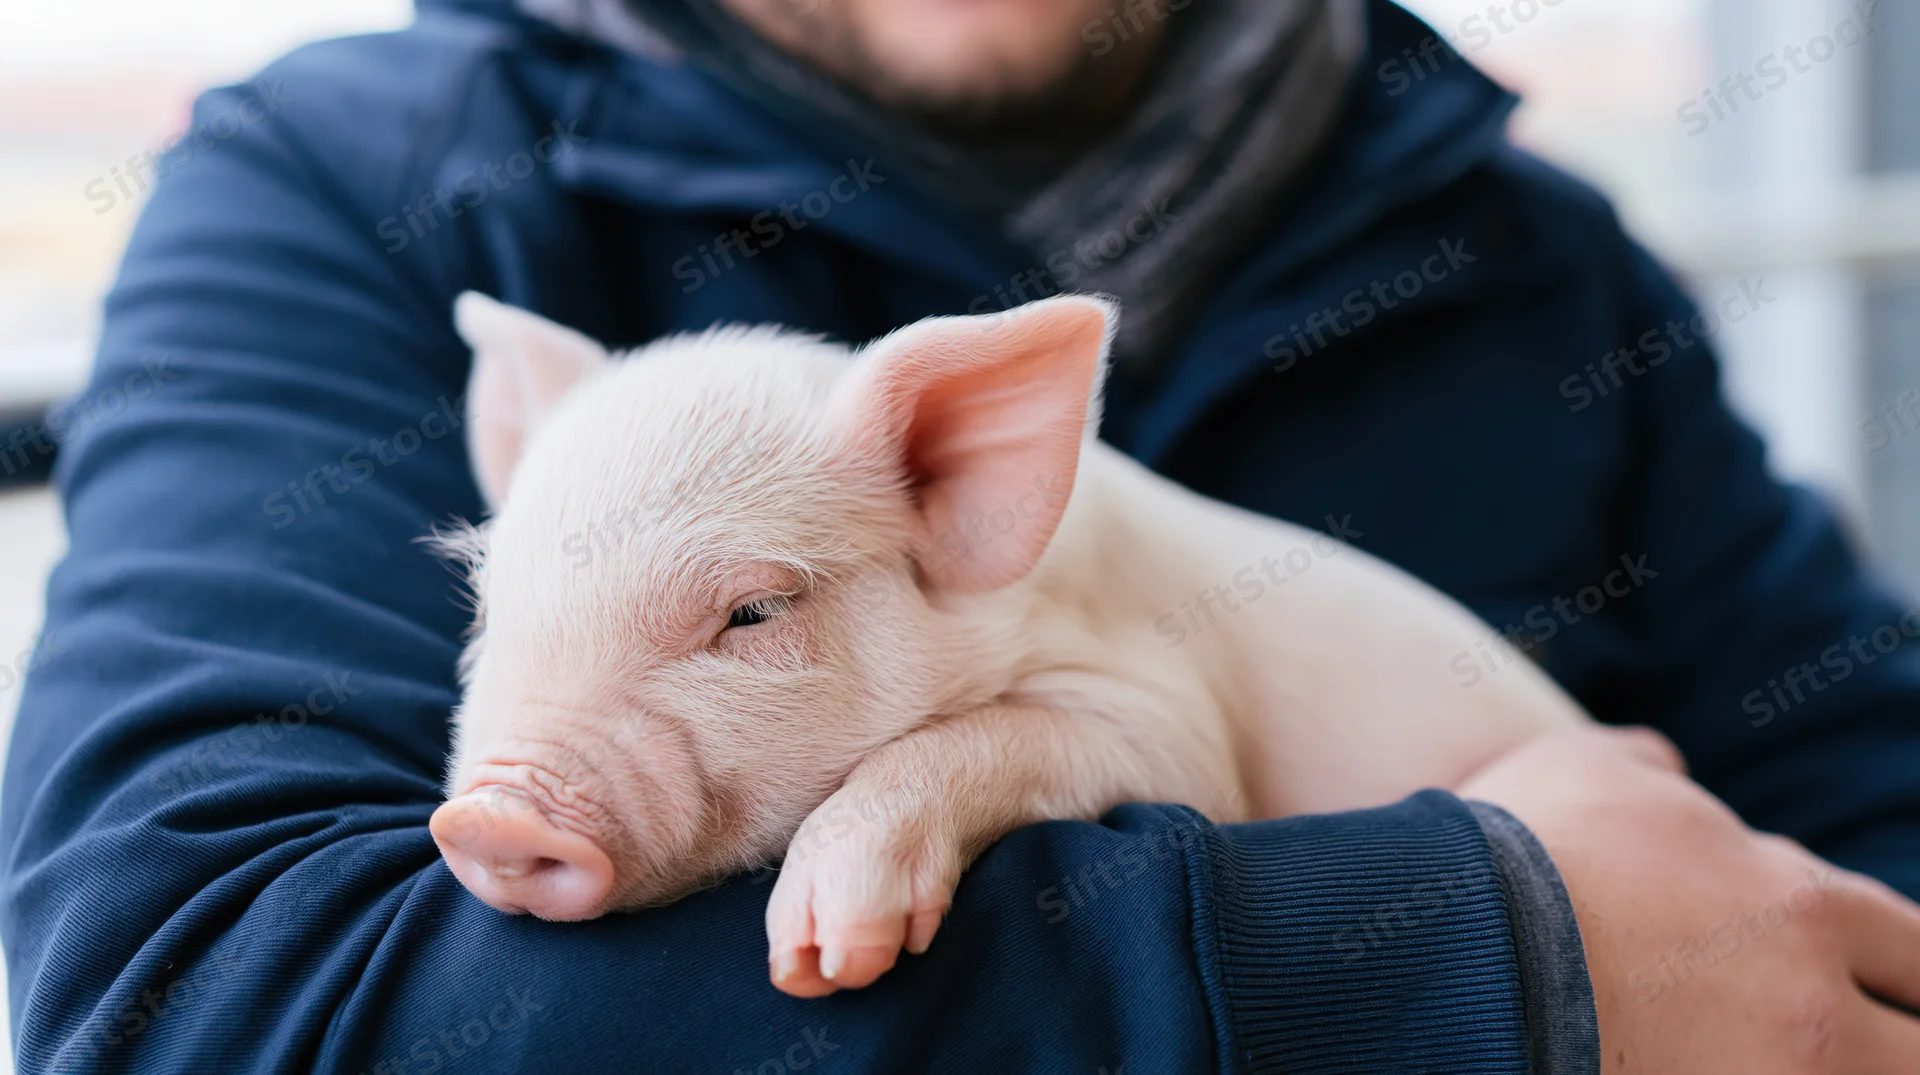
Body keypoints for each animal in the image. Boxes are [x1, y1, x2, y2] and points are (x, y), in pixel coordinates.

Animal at [428, 292, 1588, 999]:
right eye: (486, 608)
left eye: (753, 611)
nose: (487, 814)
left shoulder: (1180, 731)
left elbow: (990, 740)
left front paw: (825, 960)